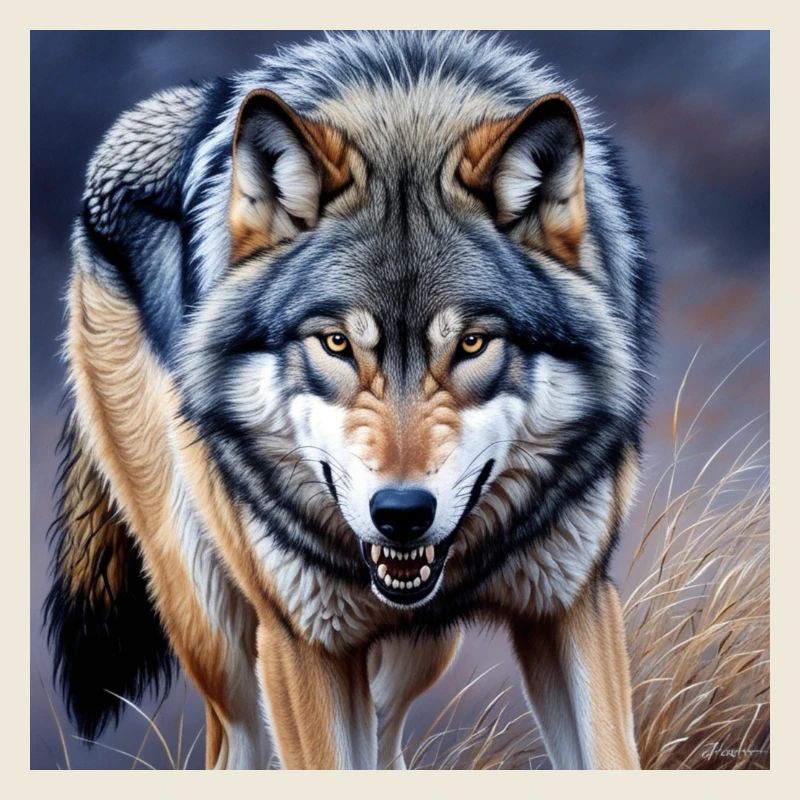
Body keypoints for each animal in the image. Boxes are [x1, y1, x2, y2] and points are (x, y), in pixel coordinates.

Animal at [45, 31, 655, 769]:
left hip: (421, 647)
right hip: (216, 629)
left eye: (473, 343)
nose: (402, 514)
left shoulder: (571, 605)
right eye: (336, 343)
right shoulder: (304, 641)